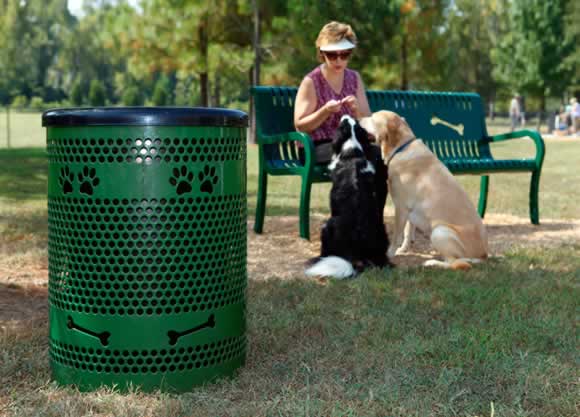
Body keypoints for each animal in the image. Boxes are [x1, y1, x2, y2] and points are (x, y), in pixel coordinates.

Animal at [306, 114, 392, 278]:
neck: (352, 151)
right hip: (382, 228)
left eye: (342, 124)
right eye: (356, 123)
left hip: (327, 226)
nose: (346, 114)